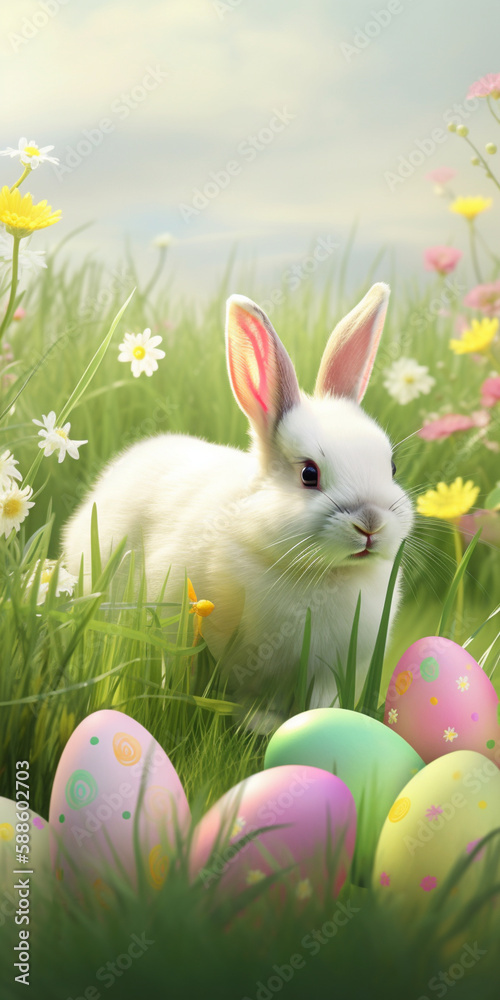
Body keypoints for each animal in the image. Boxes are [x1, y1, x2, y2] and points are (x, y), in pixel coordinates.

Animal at [62, 283, 414, 731]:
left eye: (391, 466)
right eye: (309, 474)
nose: (370, 524)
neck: (321, 572)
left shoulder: (325, 674)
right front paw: (258, 724)